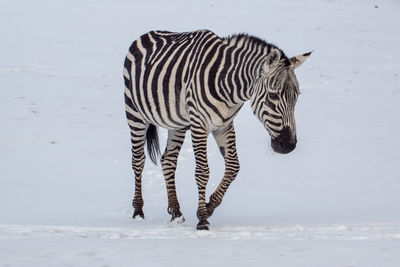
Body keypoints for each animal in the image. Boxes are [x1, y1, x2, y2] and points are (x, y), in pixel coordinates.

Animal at [123, 29, 310, 230]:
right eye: (273, 95)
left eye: (297, 96)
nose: (289, 146)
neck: (229, 86)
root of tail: (145, 34)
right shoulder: (199, 124)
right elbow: (202, 171)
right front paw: (202, 219)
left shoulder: (224, 126)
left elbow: (233, 167)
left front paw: (209, 206)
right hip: (134, 113)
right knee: (138, 160)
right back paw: (138, 211)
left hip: (177, 124)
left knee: (168, 160)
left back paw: (176, 212)